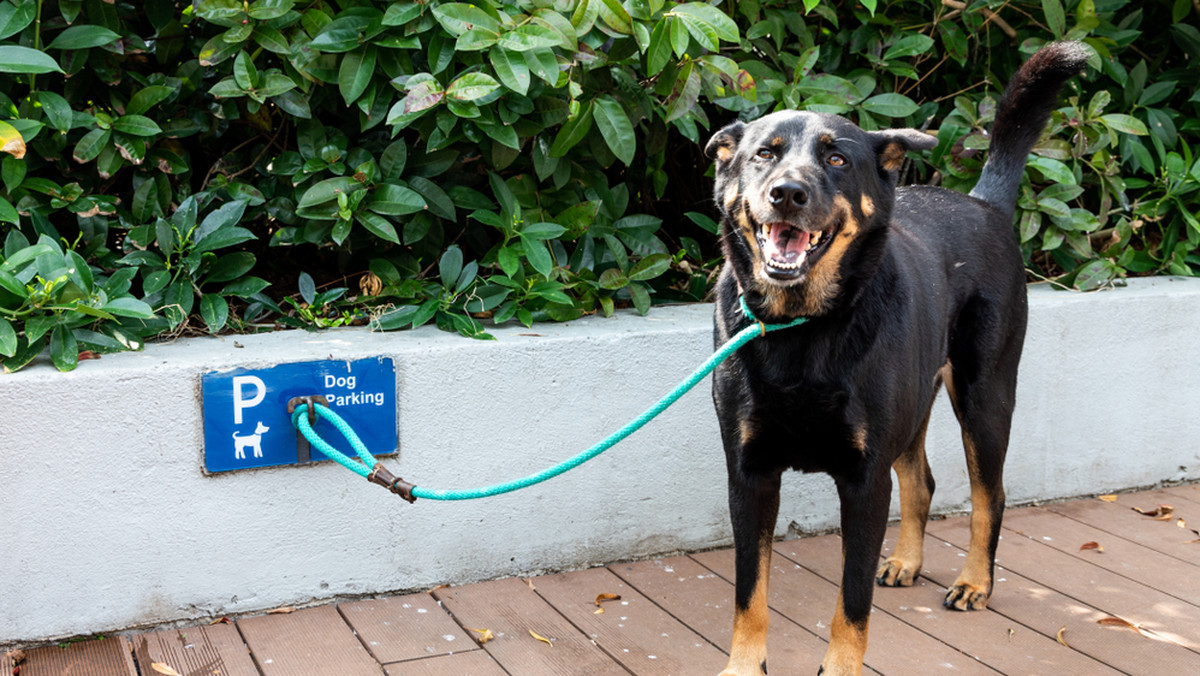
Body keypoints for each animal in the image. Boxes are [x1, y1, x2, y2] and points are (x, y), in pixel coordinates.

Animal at [700, 43, 1089, 676]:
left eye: (836, 158)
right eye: (764, 155)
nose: (788, 193)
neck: (804, 326)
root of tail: (983, 202)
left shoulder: (864, 481)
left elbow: (851, 602)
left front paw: (840, 666)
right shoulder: (749, 472)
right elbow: (748, 591)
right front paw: (742, 665)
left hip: (984, 397)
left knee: (990, 495)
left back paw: (974, 583)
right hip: (915, 407)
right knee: (922, 480)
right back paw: (907, 562)